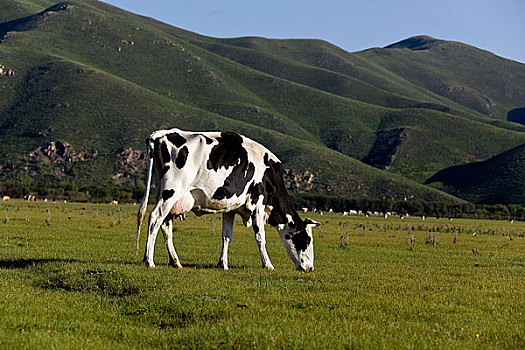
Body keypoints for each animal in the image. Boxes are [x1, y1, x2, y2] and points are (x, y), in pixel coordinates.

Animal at [135, 129, 318, 270]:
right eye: (306, 240)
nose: (310, 268)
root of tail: (160, 134)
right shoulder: (257, 203)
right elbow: (260, 236)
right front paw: (268, 264)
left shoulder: (230, 207)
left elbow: (226, 236)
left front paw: (222, 263)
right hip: (171, 191)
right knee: (155, 218)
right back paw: (149, 260)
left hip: (168, 195)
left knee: (165, 225)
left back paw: (175, 262)